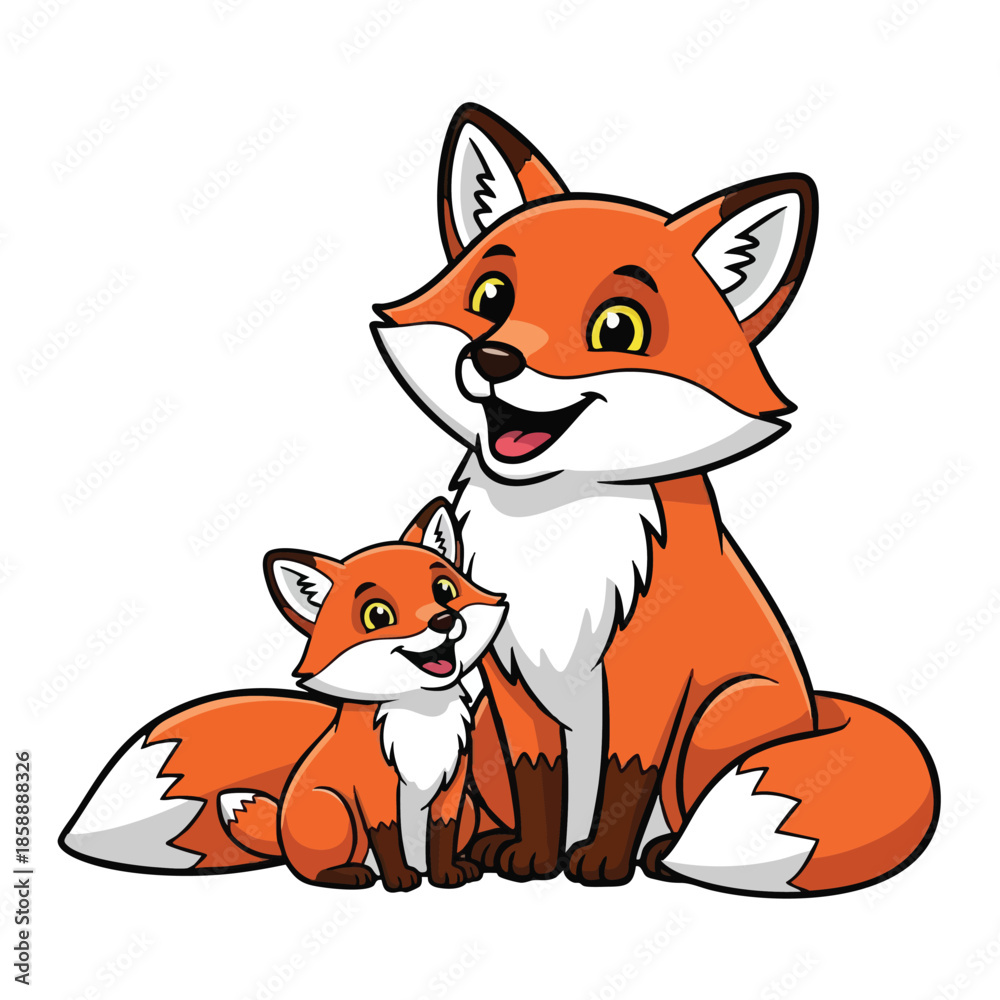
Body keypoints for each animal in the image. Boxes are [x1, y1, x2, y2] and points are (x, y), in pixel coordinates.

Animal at [59, 499, 506, 890]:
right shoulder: (373, 788)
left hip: (467, 807)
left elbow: (442, 834)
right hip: (332, 809)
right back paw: (350, 874)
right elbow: (387, 836)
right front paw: (399, 881)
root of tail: (279, 837)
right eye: (377, 615)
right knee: (313, 869)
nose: (444, 619)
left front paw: (447, 875)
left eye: (445, 589)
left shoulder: (453, 785)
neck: (421, 719)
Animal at [372, 104, 940, 894]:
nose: (493, 358)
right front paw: (535, 859)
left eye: (618, 327)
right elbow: (539, 775)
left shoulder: (650, 673)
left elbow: (625, 774)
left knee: (680, 809)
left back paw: (660, 857)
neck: (554, 533)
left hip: (725, 712)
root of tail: (815, 714)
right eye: (491, 299)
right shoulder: (509, 680)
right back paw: (494, 844)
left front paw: (600, 864)